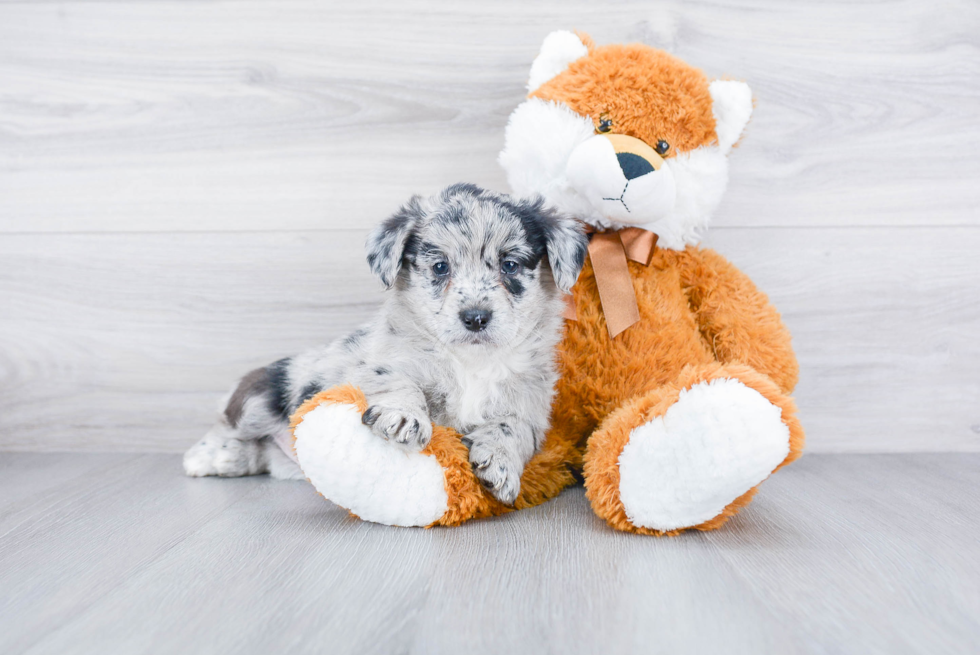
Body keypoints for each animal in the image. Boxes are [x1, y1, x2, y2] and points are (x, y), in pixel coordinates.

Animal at [184, 182, 584, 504]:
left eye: (510, 265)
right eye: (440, 267)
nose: (475, 317)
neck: (471, 361)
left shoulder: (529, 403)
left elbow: (512, 429)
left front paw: (500, 466)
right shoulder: (384, 361)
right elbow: (399, 382)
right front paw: (403, 417)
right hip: (259, 399)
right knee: (228, 426)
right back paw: (209, 456)